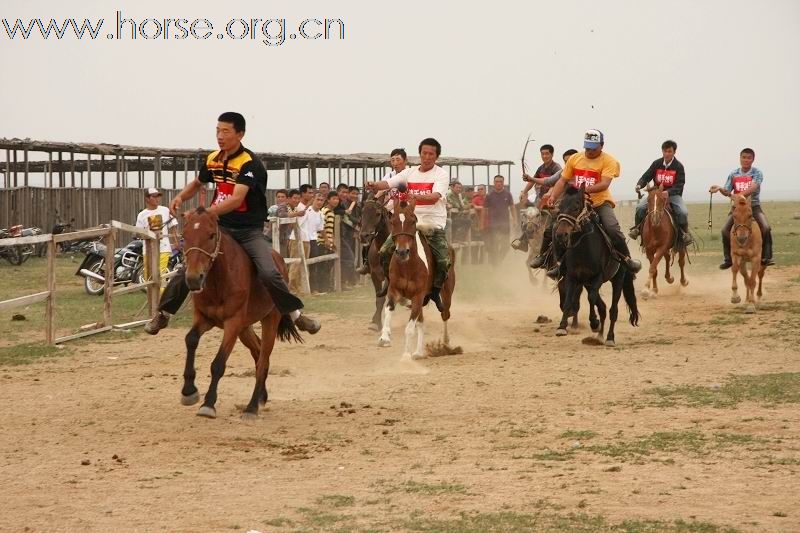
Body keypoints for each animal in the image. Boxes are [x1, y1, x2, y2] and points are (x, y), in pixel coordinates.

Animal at [180, 208, 302, 420]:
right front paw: (189, 391)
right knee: (258, 352)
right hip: (245, 328)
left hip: (269, 320)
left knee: (262, 360)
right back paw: (261, 396)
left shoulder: (233, 323)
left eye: (211, 235)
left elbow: (218, 364)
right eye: (184, 236)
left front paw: (208, 404)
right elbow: (191, 339)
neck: (220, 280)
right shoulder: (205, 318)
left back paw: (252, 407)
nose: (194, 278)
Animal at [358, 193, 392, 328]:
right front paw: (376, 321)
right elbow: (379, 299)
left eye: (378, 213)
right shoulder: (374, 274)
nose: (364, 236)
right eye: (362, 211)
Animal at [376, 197, 454, 360]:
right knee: (421, 322)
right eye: (392, 221)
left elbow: (409, 328)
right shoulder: (394, 290)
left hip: (446, 293)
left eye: (413, 221)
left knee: (445, 314)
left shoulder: (418, 295)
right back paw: (418, 352)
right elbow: (388, 311)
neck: (408, 266)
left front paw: (406, 356)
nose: (402, 251)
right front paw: (384, 337)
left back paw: (445, 344)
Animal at [552, 187, 640, 344]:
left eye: (576, 207)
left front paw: (594, 323)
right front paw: (562, 327)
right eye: (559, 207)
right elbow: (569, 300)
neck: (583, 247)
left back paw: (609, 337)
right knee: (603, 307)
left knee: (613, 310)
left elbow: (591, 298)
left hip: (617, 279)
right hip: (586, 282)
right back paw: (599, 335)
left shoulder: (597, 277)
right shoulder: (572, 277)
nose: (561, 235)